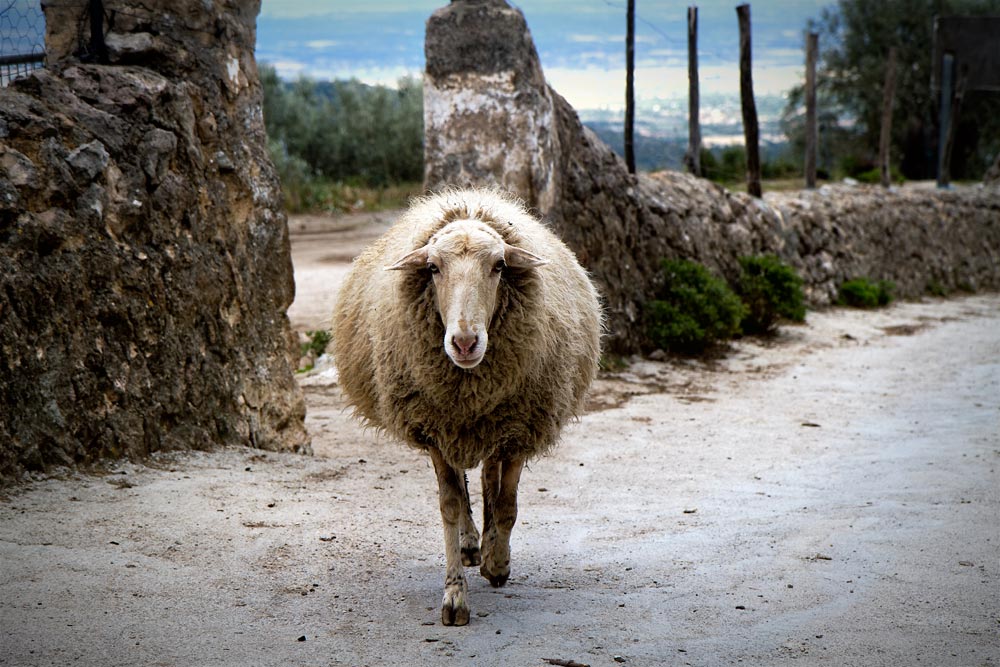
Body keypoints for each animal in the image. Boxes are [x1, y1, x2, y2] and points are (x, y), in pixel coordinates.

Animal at [334, 187, 600, 628]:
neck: (469, 387)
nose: (464, 342)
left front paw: (498, 563)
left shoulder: (520, 427)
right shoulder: (435, 428)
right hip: (458, 428)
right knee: (464, 486)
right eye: (433, 268)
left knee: (489, 476)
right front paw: (455, 596)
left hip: (495, 422)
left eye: (499, 265)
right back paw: (471, 542)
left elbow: (507, 505)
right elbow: (449, 504)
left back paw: (489, 546)